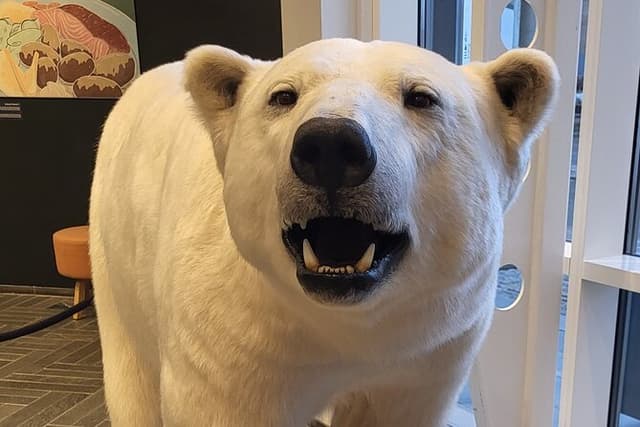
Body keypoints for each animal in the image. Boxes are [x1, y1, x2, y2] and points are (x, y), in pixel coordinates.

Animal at [89, 38, 559, 426]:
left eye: (421, 97)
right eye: (283, 96)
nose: (331, 144)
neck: (338, 325)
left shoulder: (427, 352)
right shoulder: (232, 342)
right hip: (113, 262)